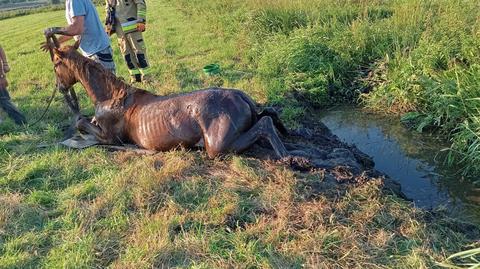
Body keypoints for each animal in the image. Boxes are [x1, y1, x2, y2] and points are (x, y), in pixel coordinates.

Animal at [46, 38, 288, 159]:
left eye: (56, 63)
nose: (60, 87)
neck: (110, 96)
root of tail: (240, 96)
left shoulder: (110, 138)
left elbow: (81, 122)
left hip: (218, 146)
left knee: (265, 123)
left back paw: (286, 156)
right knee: (269, 112)